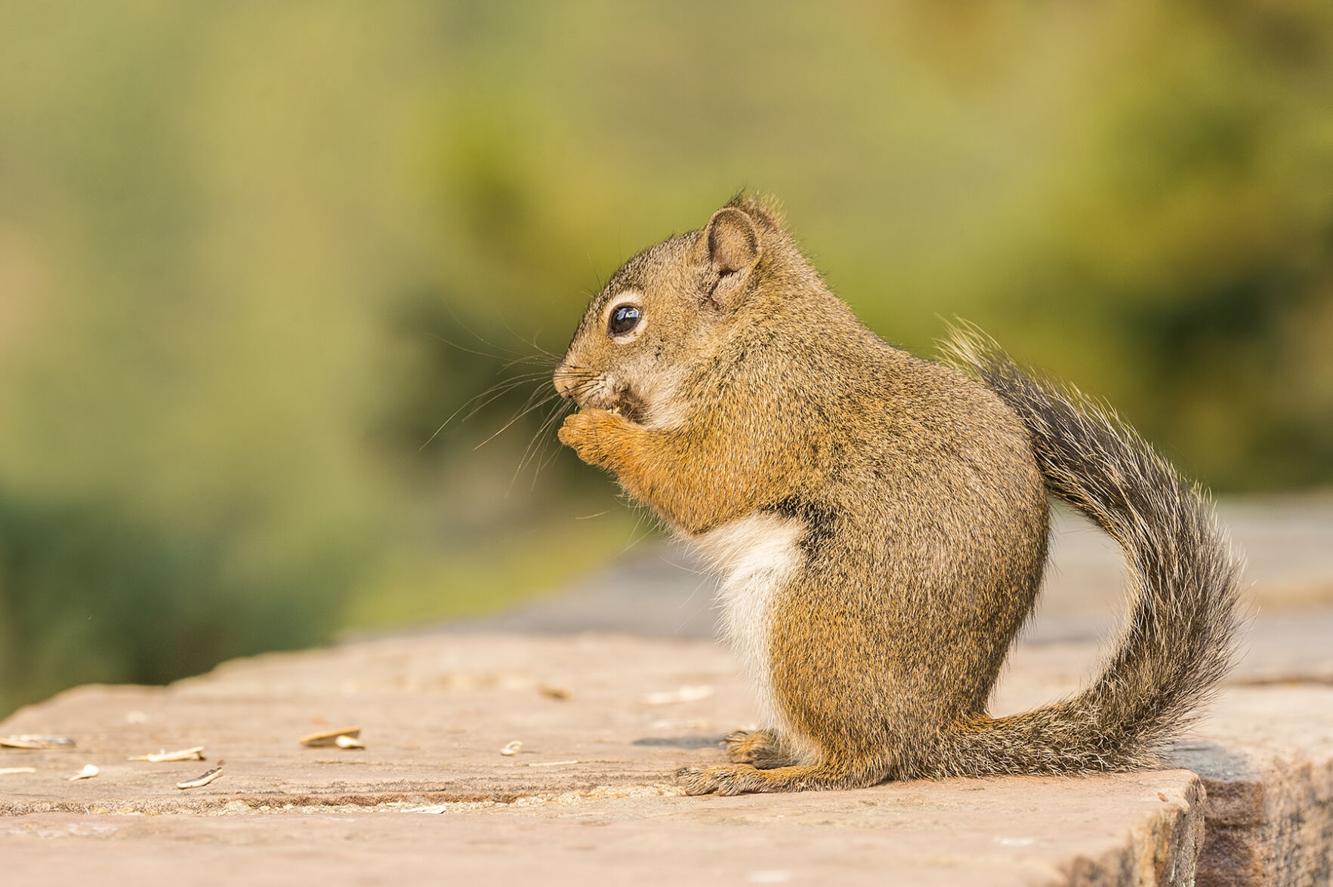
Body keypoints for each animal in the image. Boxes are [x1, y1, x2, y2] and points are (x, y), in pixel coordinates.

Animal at [553, 193, 1241, 796]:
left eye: (624, 319)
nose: (563, 383)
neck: (751, 338)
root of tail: (933, 730)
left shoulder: (766, 413)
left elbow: (700, 481)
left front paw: (590, 430)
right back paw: (763, 748)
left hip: (809, 630)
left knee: (862, 761)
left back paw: (759, 778)